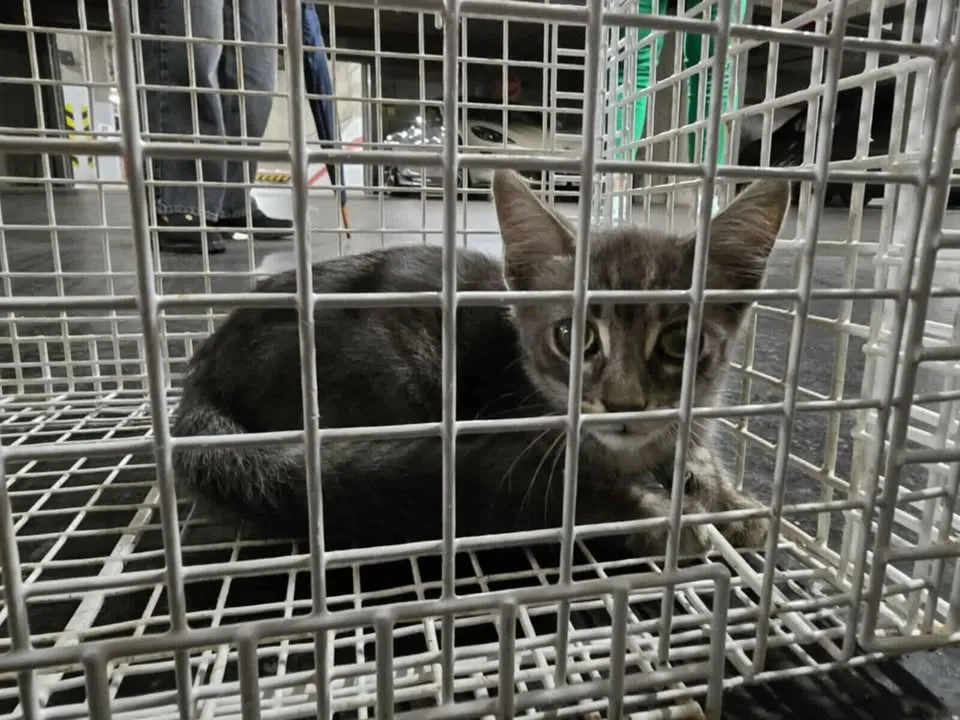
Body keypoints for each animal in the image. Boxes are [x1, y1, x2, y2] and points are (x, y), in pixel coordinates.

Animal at [171, 169, 790, 556]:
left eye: (679, 341)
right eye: (572, 335)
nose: (624, 403)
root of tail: (202, 367)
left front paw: (730, 502)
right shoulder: (508, 458)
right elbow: (559, 497)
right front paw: (661, 519)